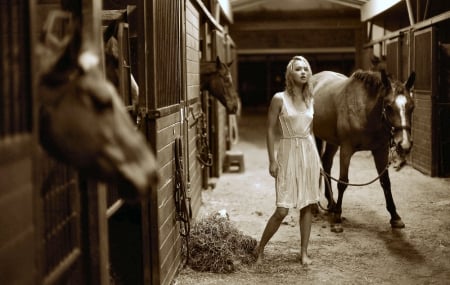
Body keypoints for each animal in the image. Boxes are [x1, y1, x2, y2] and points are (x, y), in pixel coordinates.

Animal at [312, 68, 416, 231]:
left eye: (412, 107)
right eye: (388, 106)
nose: (404, 144)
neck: (365, 112)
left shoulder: (381, 150)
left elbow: (385, 182)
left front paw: (395, 217)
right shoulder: (346, 149)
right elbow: (343, 182)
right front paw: (337, 217)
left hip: (332, 141)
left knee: (327, 162)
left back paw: (331, 203)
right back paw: (318, 207)